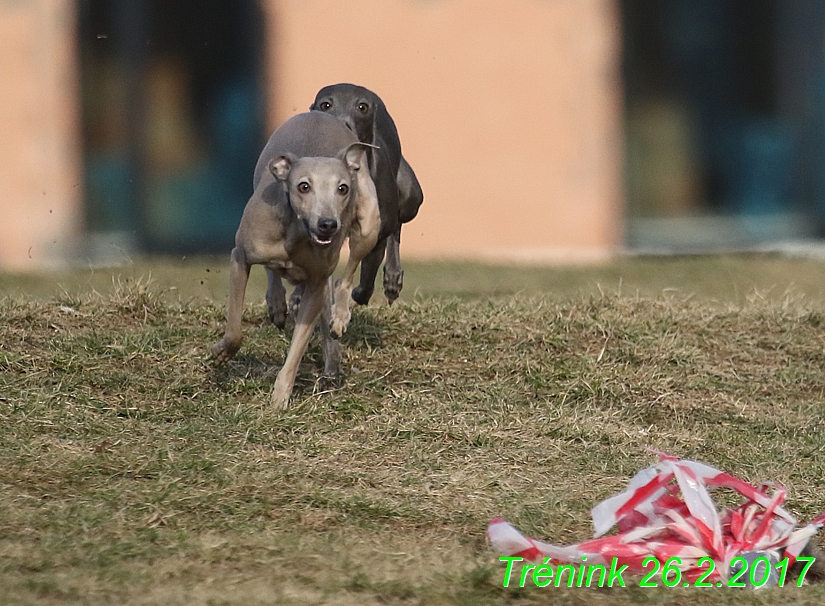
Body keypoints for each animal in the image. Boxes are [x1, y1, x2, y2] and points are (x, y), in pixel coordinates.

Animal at [212, 111, 380, 410]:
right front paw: (222, 353)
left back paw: (338, 317)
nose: (328, 224)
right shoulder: (240, 257)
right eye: (303, 186)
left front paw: (280, 398)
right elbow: (234, 329)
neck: (296, 232)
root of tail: (321, 113)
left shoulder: (316, 285)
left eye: (342, 188)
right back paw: (277, 302)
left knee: (345, 278)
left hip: (369, 223)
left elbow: (296, 350)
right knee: (274, 272)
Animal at [310, 83, 424, 306]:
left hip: (410, 197)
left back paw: (392, 279)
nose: (342, 125)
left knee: (396, 226)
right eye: (326, 104)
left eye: (362, 106)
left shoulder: (376, 236)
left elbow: (367, 275)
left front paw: (357, 294)